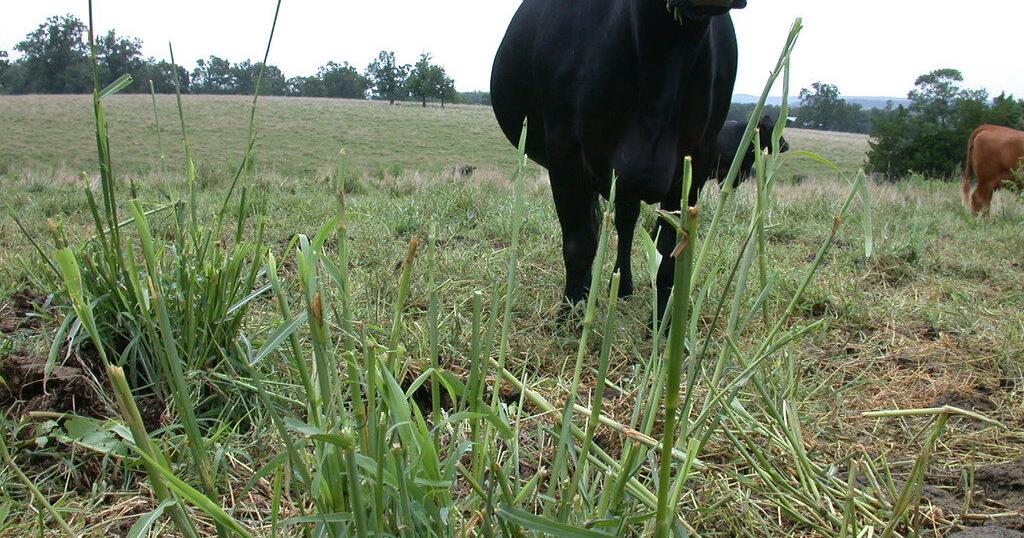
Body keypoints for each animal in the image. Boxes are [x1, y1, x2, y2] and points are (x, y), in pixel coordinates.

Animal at [491, 0, 747, 317]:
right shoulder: (565, 151)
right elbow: (579, 243)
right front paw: (571, 315)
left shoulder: (698, 159)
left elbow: (671, 251)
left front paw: (665, 323)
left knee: (625, 223)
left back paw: (623, 286)